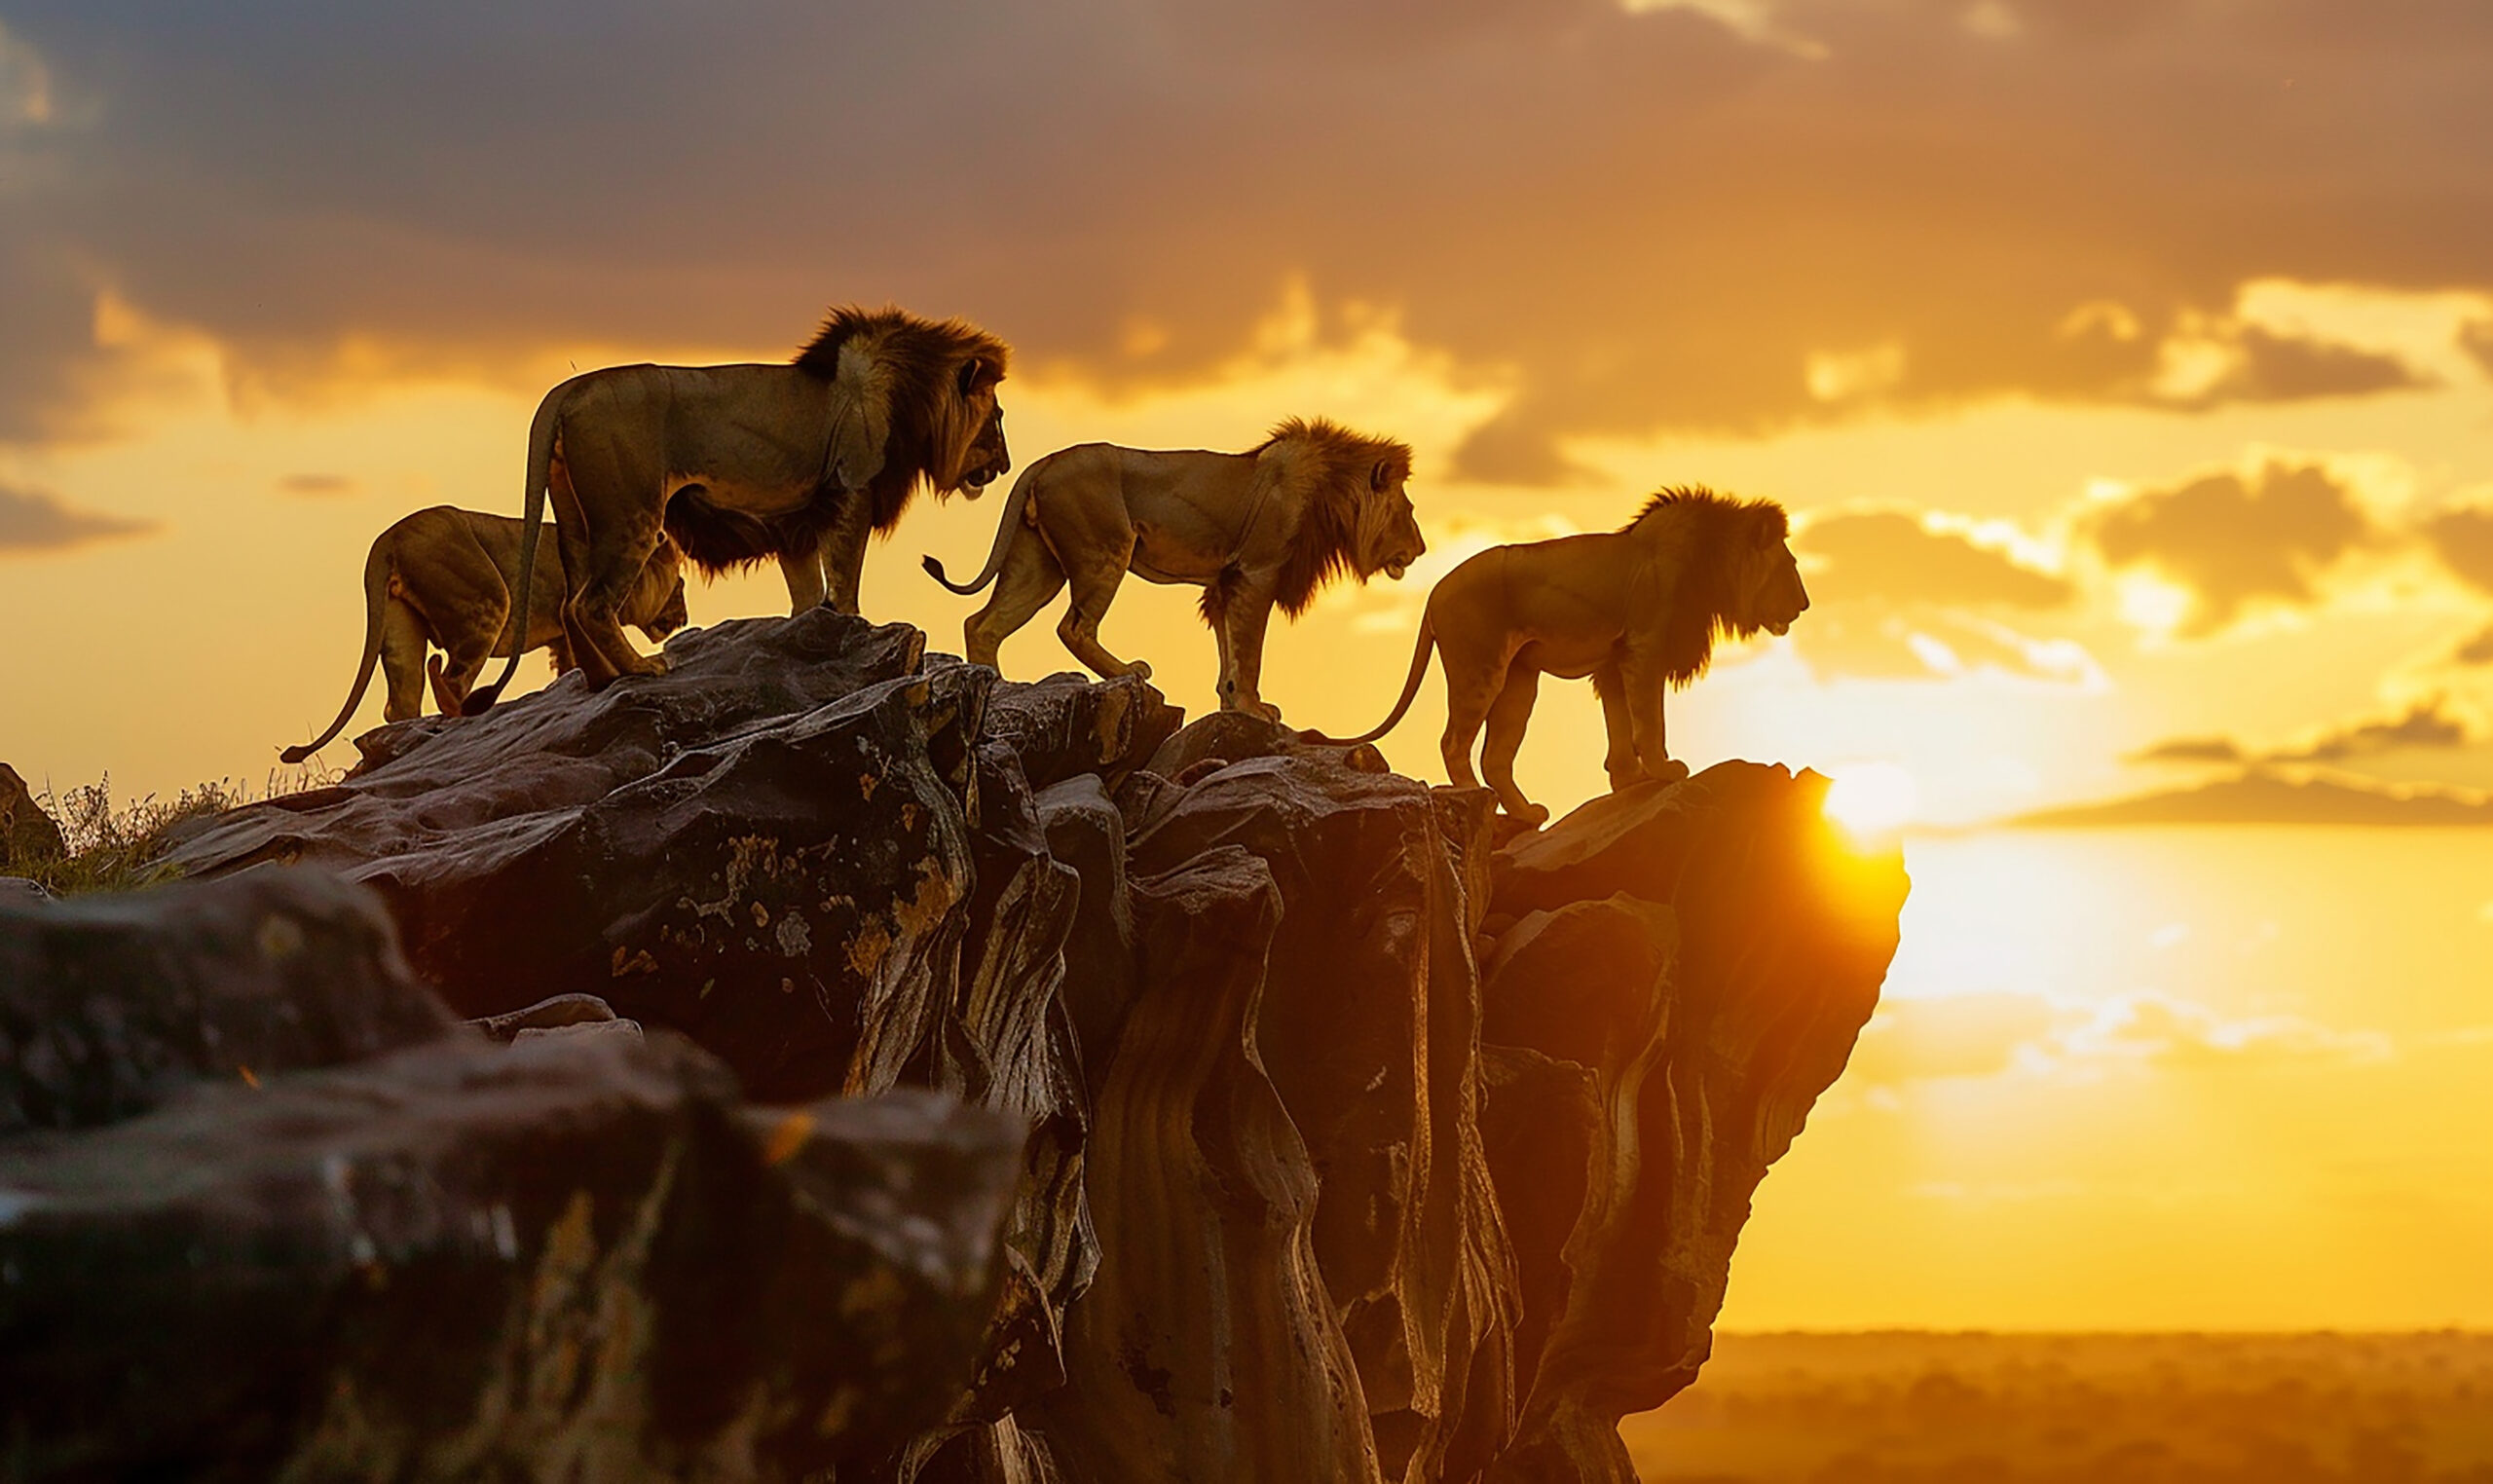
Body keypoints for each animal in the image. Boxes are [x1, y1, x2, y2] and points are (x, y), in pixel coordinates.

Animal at [278, 511, 688, 767]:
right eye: (680, 586)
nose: (683, 619)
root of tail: (389, 539)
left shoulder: (561, 632)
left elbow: (570, 663)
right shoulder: (574, 609)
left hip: (400, 629)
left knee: (400, 705)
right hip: (486, 603)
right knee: (451, 681)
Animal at [464, 304, 1007, 713]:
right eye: (998, 416)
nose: (1004, 466)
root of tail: (570, 389)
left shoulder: (795, 519)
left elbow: (808, 590)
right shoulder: (852, 488)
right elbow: (845, 573)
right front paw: (858, 628)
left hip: (575, 517)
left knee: (568, 602)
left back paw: (602, 678)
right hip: (632, 512)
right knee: (590, 603)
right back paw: (641, 668)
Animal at [922, 419, 1435, 718]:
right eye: (1409, 509)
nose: (1424, 547)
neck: (1330, 493)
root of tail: (1044, 462)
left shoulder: (1226, 581)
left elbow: (1229, 649)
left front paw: (1231, 702)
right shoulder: (1256, 572)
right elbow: (1250, 650)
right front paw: (1252, 707)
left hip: (1038, 566)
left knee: (983, 623)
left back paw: (995, 688)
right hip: (1105, 549)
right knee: (1074, 627)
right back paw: (1130, 672)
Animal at [1306, 494, 1814, 828]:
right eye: (1790, 566)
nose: (1806, 604)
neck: (1708, 566)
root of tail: (1433, 594)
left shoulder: (1615, 661)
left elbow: (1620, 724)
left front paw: (1628, 779)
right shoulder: (1645, 650)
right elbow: (1650, 721)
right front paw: (1664, 769)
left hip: (1519, 680)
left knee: (1495, 757)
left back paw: (1526, 813)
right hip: (1480, 668)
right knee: (1454, 742)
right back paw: (1477, 799)